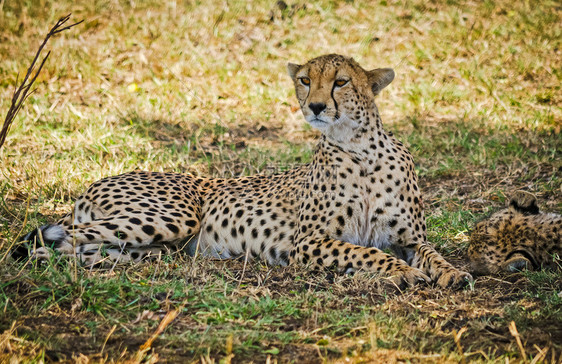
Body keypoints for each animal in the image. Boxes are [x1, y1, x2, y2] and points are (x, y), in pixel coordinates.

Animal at [17, 54, 470, 288]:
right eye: (304, 80)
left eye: (341, 82)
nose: (316, 106)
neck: (360, 149)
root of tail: (93, 184)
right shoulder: (308, 243)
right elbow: (368, 252)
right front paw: (405, 273)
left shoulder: (409, 237)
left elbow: (433, 254)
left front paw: (453, 274)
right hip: (171, 218)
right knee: (49, 240)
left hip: (149, 243)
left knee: (78, 247)